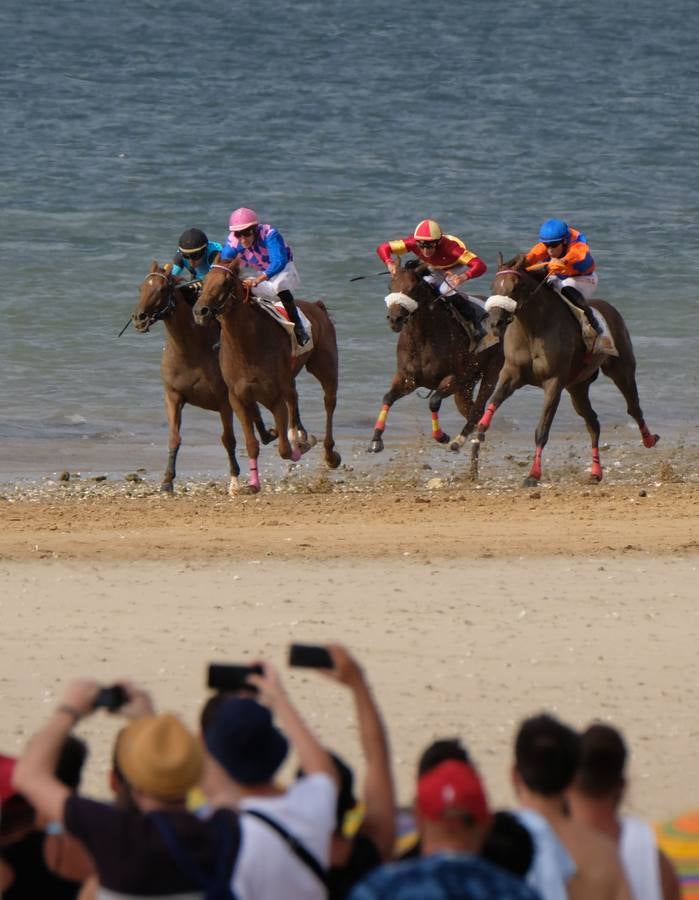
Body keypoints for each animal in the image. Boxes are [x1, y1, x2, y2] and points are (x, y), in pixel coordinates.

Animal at [131, 262, 276, 492]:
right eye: (141, 288)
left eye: (162, 289)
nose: (139, 318)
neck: (190, 350)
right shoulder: (173, 396)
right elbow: (174, 438)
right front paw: (167, 481)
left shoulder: (225, 402)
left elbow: (229, 440)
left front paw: (234, 479)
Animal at [194, 255, 342, 492]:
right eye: (204, 280)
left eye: (226, 282)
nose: (200, 311)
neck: (247, 346)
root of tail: (317, 306)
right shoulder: (239, 398)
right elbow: (252, 444)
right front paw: (253, 484)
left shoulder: (274, 397)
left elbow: (284, 449)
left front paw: (300, 447)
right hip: (290, 378)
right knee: (294, 397)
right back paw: (299, 435)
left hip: (325, 367)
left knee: (329, 403)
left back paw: (329, 454)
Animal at [366, 264, 504, 454]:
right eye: (390, 286)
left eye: (412, 289)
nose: (395, 319)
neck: (423, 339)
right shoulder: (408, 379)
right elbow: (387, 398)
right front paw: (376, 439)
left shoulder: (455, 378)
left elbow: (434, 400)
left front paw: (441, 435)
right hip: (466, 386)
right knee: (471, 410)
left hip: (491, 373)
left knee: (477, 410)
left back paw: (460, 441)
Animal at [470, 256, 660, 486]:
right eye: (493, 286)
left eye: (515, 287)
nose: (495, 323)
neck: (533, 329)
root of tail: (610, 308)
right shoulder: (511, 375)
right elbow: (492, 404)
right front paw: (474, 434)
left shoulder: (554, 383)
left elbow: (542, 430)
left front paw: (533, 474)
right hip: (577, 387)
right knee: (593, 422)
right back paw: (595, 472)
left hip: (621, 370)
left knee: (634, 408)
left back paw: (649, 439)